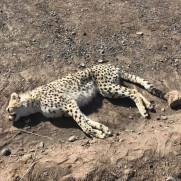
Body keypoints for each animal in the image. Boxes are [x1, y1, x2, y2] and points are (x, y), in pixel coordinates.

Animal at [6, 64, 165, 139]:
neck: (34, 101)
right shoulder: (70, 108)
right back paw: (148, 105)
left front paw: (97, 134)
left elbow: (83, 124)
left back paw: (143, 110)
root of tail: (111, 65)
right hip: (109, 90)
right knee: (135, 90)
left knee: (133, 91)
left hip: (106, 87)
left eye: (9, 108)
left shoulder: (69, 104)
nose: (8, 118)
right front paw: (102, 128)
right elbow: (85, 120)